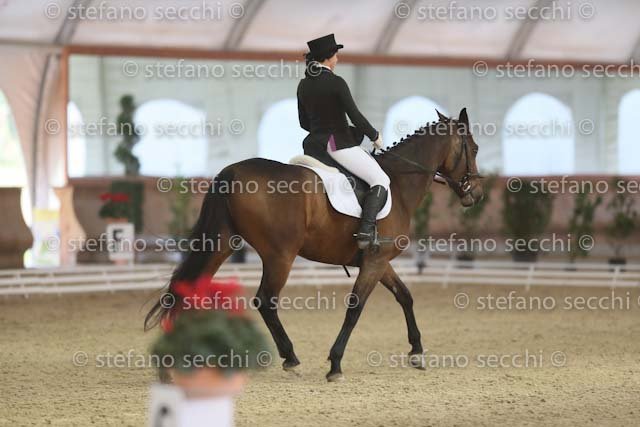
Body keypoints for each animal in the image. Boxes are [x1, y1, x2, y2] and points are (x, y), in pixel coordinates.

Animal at [145, 108, 483, 381]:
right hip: (280, 256)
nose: (477, 194)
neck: (398, 184)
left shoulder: (378, 260)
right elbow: (355, 308)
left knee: (188, 291)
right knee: (265, 301)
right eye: (475, 148)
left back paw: (173, 365)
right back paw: (290, 358)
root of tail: (232, 170)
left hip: (221, 244)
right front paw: (335, 365)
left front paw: (417, 353)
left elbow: (405, 297)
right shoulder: (375, 262)